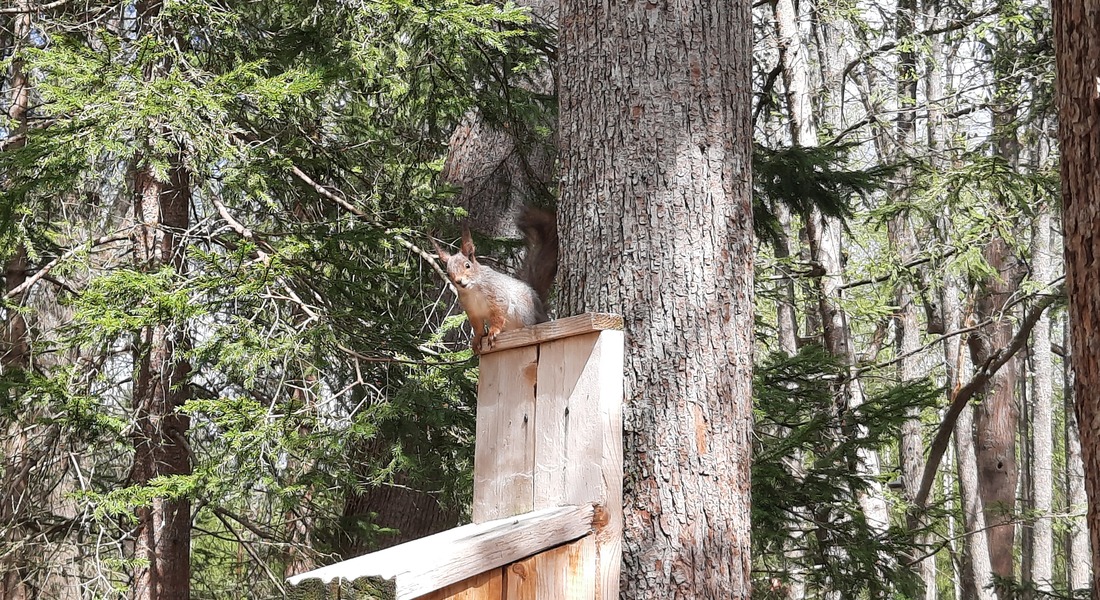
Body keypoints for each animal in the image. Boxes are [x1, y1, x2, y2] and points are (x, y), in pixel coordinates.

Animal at [433, 206, 558, 352]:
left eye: (467, 265)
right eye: (448, 273)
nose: (459, 281)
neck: (473, 290)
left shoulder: (496, 294)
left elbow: (499, 314)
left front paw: (493, 331)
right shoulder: (471, 310)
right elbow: (478, 326)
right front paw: (477, 338)